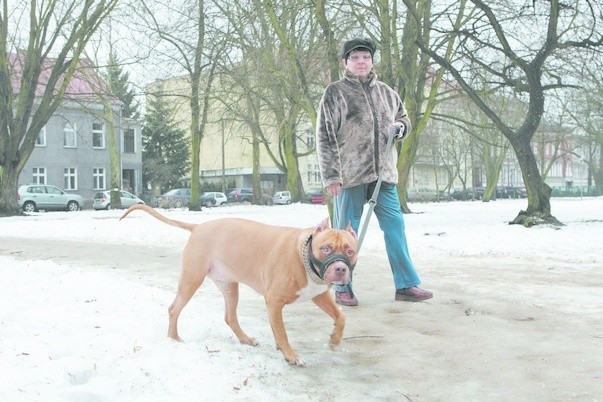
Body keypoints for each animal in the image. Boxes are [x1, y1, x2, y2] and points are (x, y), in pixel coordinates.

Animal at [121, 206, 358, 366]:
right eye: (325, 248)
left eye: (350, 251)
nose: (340, 269)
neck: (305, 258)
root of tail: (198, 227)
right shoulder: (274, 301)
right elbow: (282, 332)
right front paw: (291, 355)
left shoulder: (319, 295)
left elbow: (340, 316)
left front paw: (335, 339)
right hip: (191, 280)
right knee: (174, 309)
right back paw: (174, 338)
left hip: (229, 286)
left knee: (230, 316)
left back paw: (245, 339)